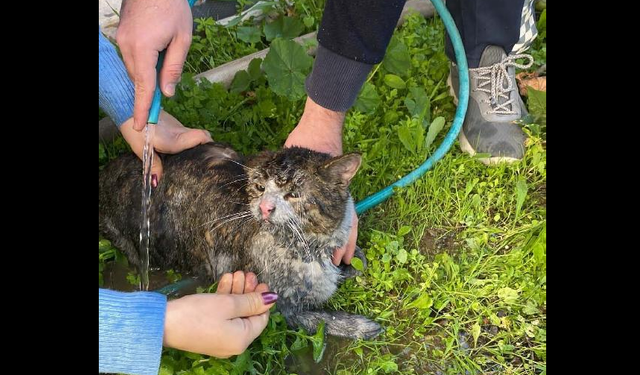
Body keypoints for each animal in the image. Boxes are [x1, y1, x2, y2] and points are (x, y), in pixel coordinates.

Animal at [97, 143, 382, 340]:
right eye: (260, 188)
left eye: (294, 194)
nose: (265, 207)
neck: (308, 247)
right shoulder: (284, 309)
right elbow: (322, 319)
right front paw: (362, 326)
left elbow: (358, 260)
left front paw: (353, 261)